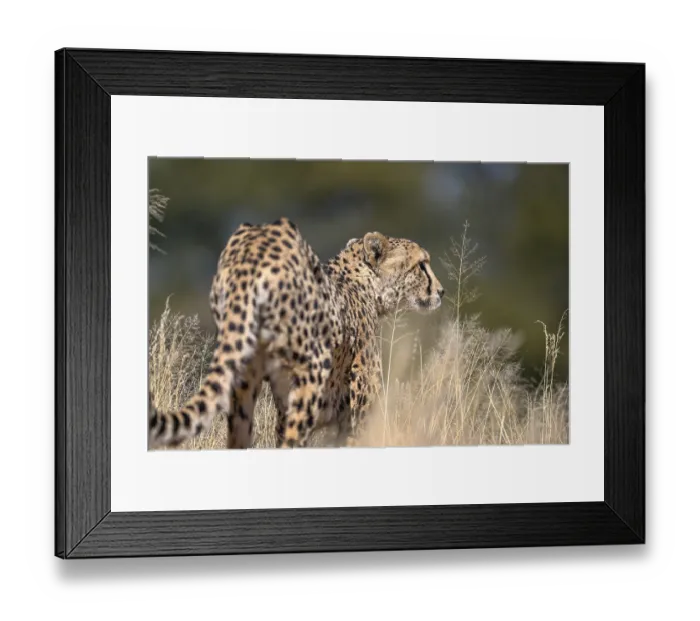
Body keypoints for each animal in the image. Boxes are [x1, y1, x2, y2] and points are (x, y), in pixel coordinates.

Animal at [148, 217, 444, 450]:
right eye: (421, 265)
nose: (441, 291)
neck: (365, 281)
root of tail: (251, 252)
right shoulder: (361, 404)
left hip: (244, 374)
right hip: (309, 373)